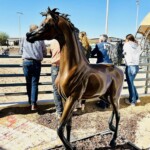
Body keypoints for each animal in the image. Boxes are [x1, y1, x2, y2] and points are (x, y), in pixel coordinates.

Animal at [26, 7, 124, 150]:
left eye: (46, 24)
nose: (28, 36)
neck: (71, 68)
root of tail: (119, 69)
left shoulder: (72, 98)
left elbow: (59, 128)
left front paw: (71, 147)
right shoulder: (66, 98)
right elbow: (68, 125)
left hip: (114, 95)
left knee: (118, 115)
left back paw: (113, 141)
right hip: (105, 96)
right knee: (113, 109)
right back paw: (110, 127)